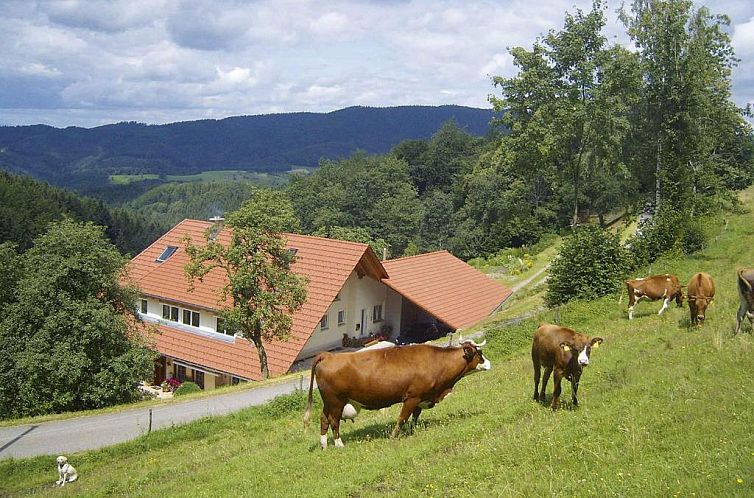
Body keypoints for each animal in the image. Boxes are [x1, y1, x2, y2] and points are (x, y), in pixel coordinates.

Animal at [302, 340, 490, 450]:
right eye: (479, 354)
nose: (489, 363)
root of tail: (328, 355)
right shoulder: (412, 397)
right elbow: (402, 418)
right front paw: (394, 437)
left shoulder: (421, 397)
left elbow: (415, 416)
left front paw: (412, 431)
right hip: (336, 401)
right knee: (334, 421)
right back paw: (339, 444)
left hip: (328, 402)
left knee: (324, 419)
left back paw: (324, 445)